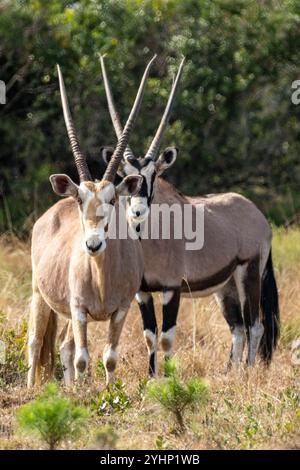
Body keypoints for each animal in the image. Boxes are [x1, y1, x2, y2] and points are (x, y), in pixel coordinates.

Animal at [27, 56, 157, 386]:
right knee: (36, 340)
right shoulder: (79, 309)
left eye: (112, 199)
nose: (93, 244)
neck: (99, 273)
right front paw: (84, 392)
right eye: (80, 200)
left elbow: (108, 357)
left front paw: (108, 393)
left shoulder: (121, 310)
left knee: (63, 344)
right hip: (39, 293)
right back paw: (32, 386)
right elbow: (82, 358)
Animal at [99, 57, 280, 376]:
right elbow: (150, 335)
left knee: (255, 326)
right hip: (226, 286)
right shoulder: (142, 293)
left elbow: (167, 337)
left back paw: (247, 372)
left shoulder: (172, 289)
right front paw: (151, 377)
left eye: (153, 175)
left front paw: (169, 377)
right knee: (238, 328)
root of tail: (256, 213)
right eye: (126, 178)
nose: (137, 212)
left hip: (249, 273)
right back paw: (230, 372)